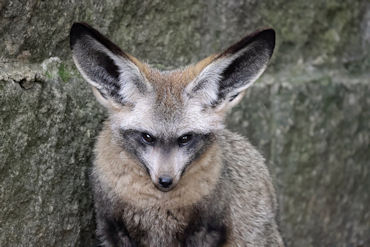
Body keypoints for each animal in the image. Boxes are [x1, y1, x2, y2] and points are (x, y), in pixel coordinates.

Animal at [69, 22, 284, 246]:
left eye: (185, 138)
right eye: (147, 137)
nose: (165, 181)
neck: (157, 205)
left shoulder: (208, 229)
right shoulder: (111, 226)